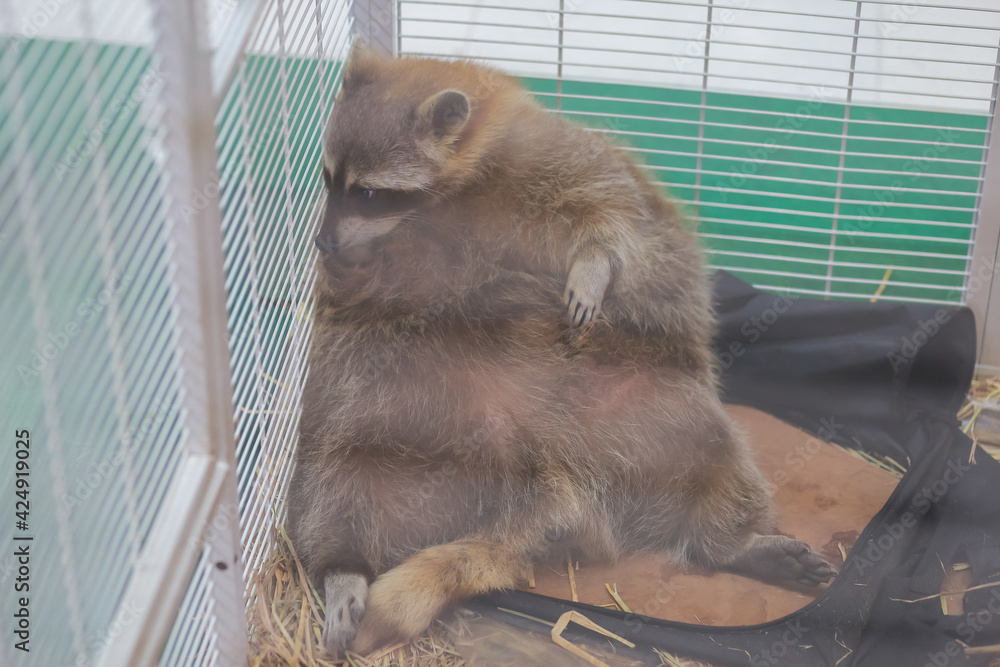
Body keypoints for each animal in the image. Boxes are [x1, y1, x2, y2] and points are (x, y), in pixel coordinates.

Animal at [286, 42, 836, 657]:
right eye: (328, 179)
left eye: (368, 192)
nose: (322, 242)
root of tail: (545, 477)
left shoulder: (555, 162)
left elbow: (610, 212)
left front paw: (594, 263)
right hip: (380, 402)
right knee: (334, 470)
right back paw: (341, 563)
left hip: (644, 409)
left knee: (714, 455)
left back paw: (728, 541)